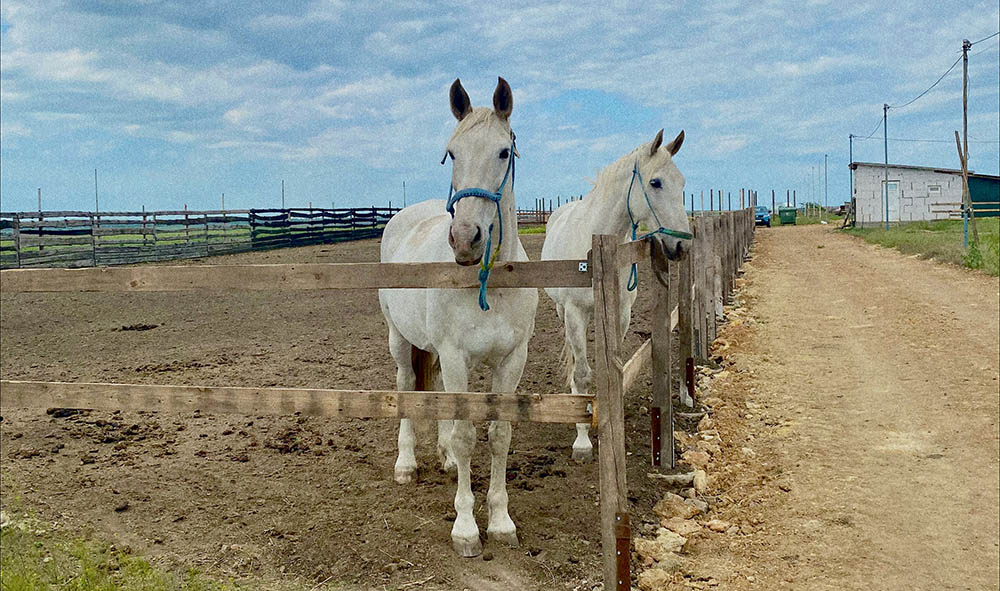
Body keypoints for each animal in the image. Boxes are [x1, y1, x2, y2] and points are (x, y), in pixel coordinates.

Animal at [378, 77, 538, 557]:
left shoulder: (511, 360)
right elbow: (469, 437)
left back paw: (444, 457)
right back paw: (407, 464)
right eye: (452, 153)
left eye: (503, 152)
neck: (490, 283)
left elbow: (499, 435)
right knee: (408, 389)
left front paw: (501, 523)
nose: (466, 239)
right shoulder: (455, 357)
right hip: (399, 341)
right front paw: (466, 529)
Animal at [541, 129, 691, 461]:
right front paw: (582, 438)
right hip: (563, 312)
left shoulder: (621, 314)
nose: (683, 246)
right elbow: (582, 374)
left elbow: (616, 370)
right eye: (655, 182)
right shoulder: (574, 313)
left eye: (682, 182)